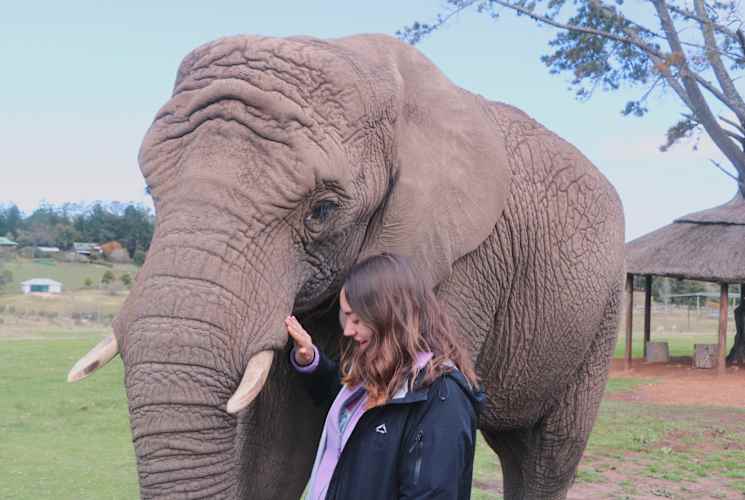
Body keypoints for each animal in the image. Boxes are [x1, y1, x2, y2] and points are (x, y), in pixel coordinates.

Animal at [68, 33, 625, 499]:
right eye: (149, 191)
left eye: (322, 210)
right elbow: (274, 444)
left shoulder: (467, 262)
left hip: (601, 318)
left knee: (547, 454)